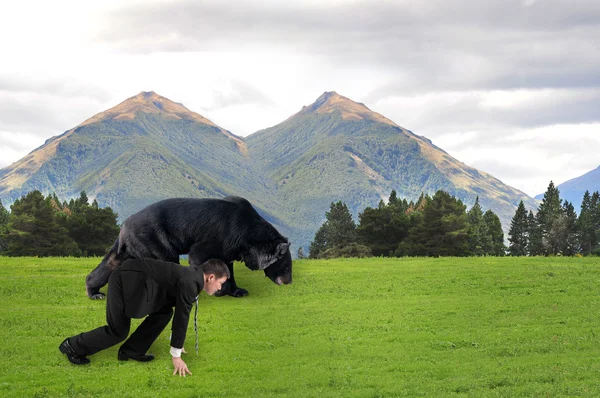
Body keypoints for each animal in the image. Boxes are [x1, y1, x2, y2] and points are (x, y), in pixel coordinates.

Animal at [85, 196, 292, 298]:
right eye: (287, 266)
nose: (288, 281)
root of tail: (123, 228)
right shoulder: (219, 235)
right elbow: (199, 256)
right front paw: (219, 290)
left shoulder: (231, 246)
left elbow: (228, 265)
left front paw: (239, 291)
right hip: (155, 239)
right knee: (167, 261)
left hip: (129, 248)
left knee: (110, 263)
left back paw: (95, 293)